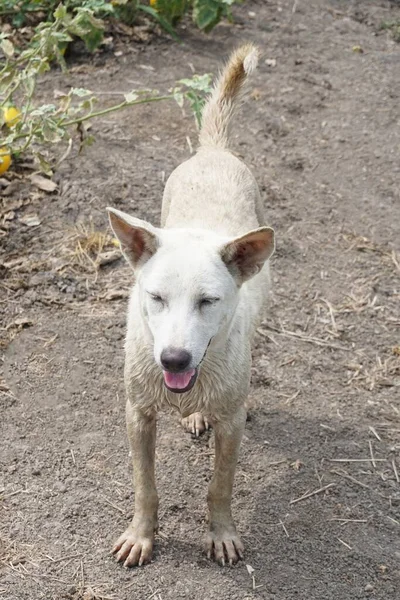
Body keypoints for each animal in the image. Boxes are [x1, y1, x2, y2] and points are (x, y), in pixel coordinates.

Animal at [106, 44, 276, 568]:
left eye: (208, 301)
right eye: (156, 297)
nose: (175, 360)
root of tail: (212, 151)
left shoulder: (232, 424)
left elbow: (220, 486)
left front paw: (221, 533)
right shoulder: (137, 414)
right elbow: (145, 485)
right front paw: (141, 535)